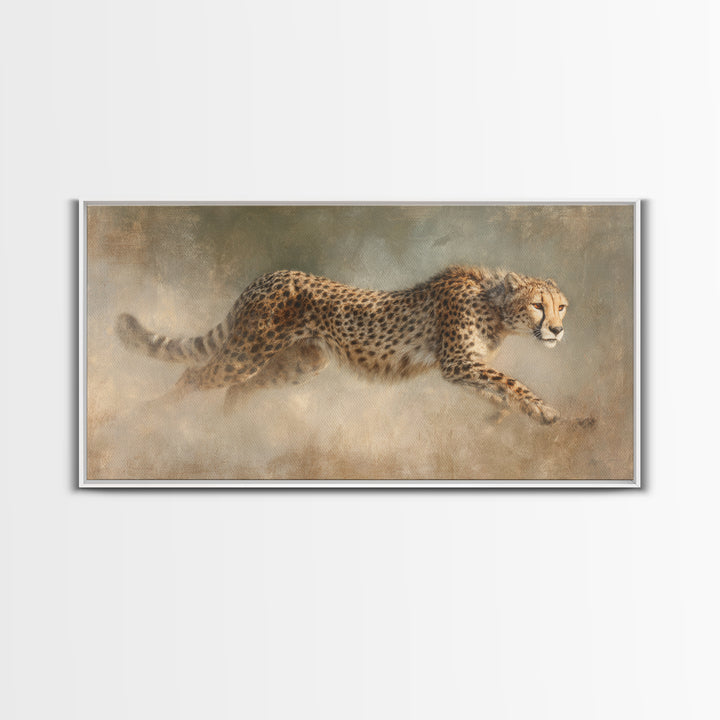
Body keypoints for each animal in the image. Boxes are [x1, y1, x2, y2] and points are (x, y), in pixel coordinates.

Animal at [115, 265, 595, 426]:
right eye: (537, 306)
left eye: (562, 307)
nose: (557, 331)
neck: (494, 305)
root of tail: (268, 276)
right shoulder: (458, 363)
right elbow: (512, 383)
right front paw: (548, 411)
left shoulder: (466, 369)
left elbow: (500, 391)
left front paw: (540, 418)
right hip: (248, 351)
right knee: (194, 374)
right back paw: (149, 417)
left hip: (301, 364)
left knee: (239, 389)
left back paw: (228, 431)